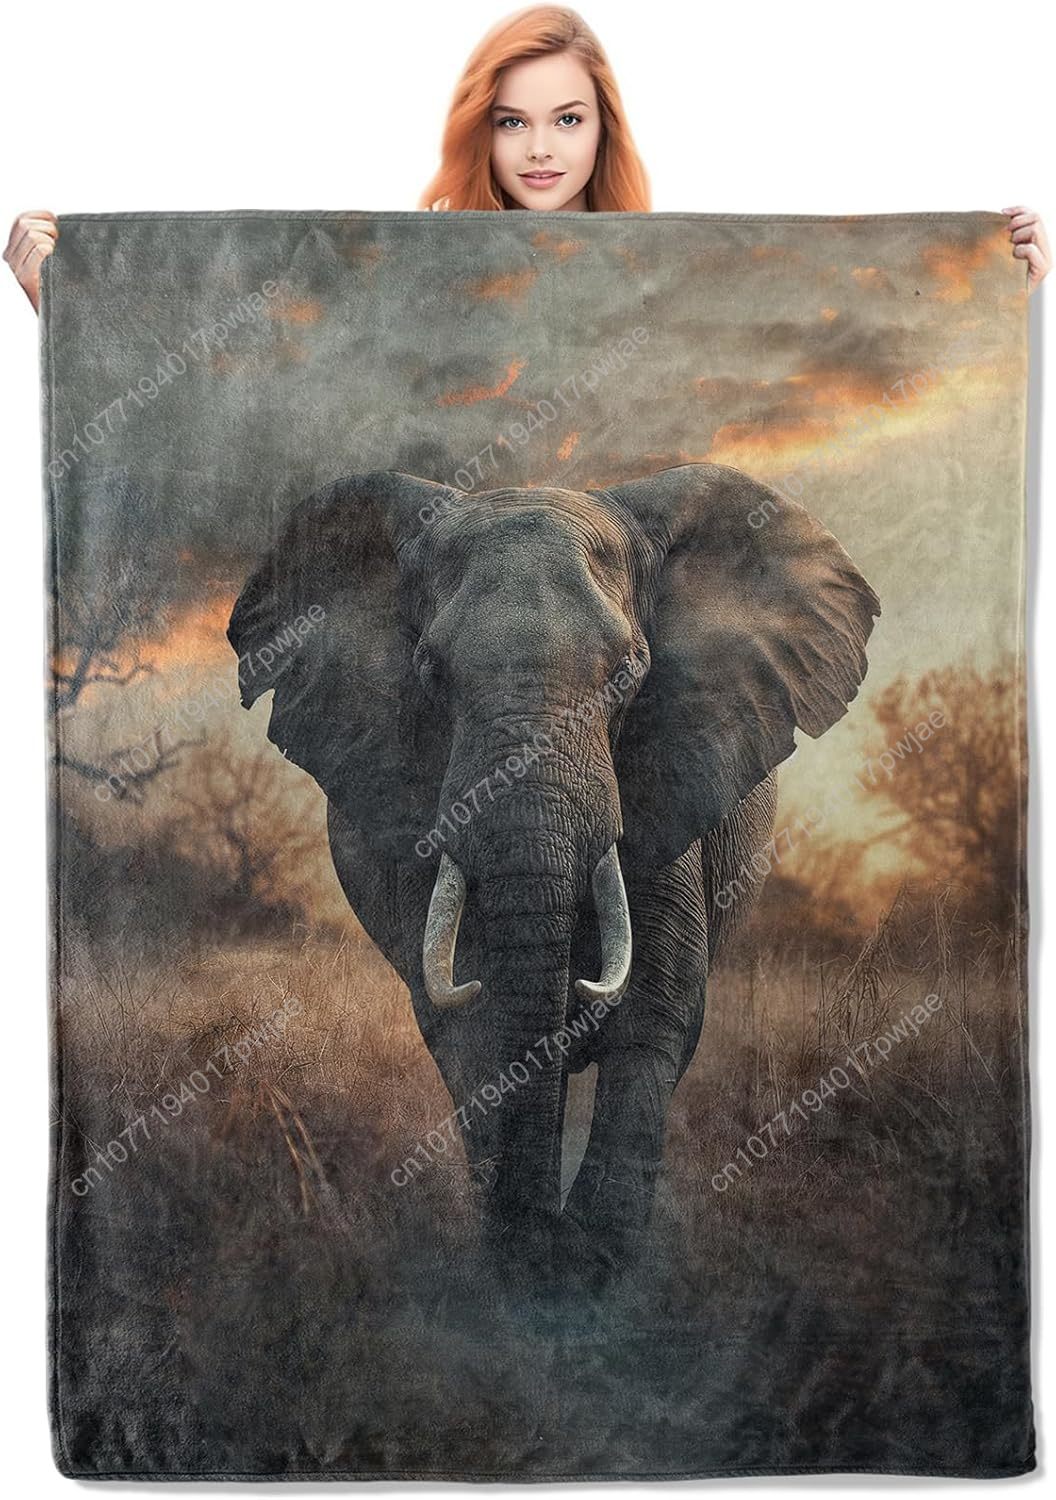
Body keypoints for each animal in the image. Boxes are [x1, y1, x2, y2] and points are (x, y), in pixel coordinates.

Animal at [227, 462, 880, 1295]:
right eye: (429, 672)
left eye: (629, 674)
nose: (538, 1250)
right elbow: (471, 1026)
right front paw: (526, 1267)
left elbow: (655, 1016)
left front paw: (586, 1272)